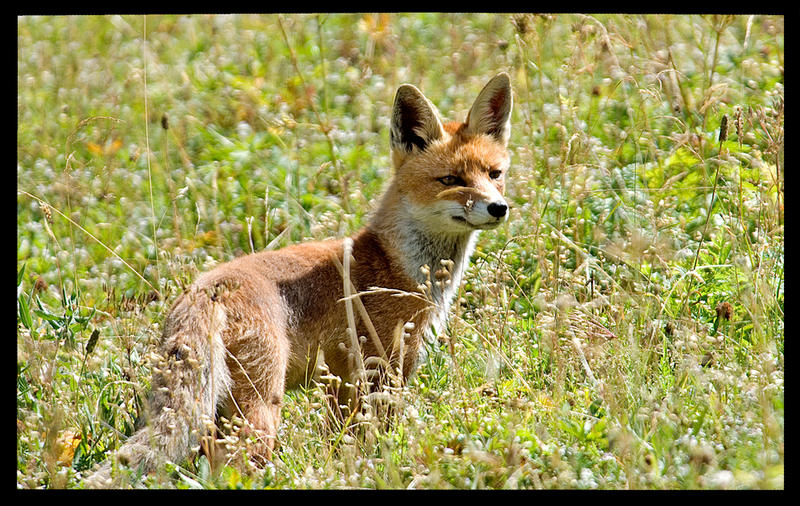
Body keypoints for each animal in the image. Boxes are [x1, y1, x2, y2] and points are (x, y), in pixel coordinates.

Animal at [86, 72, 512, 486]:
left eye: (495, 175)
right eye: (450, 180)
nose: (499, 208)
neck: (399, 264)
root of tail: (206, 290)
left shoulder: (341, 381)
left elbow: (344, 442)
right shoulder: (381, 369)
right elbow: (377, 440)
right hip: (261, 411)